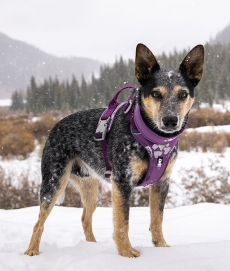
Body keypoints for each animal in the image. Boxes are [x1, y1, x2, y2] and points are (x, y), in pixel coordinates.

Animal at [24, 43, 204, 258]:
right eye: (156, 94)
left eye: (183, 94)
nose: (170, 120)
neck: (152, 138)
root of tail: (54, 126)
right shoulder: (122, 182)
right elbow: (122, 224)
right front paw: (126, 254)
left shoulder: (162, 183)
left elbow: (157, 220)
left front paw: (161, 248)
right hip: (54, 182)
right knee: (38, 223)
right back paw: (31, 251)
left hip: (90, 188)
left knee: (85, 218)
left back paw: (91, 247)